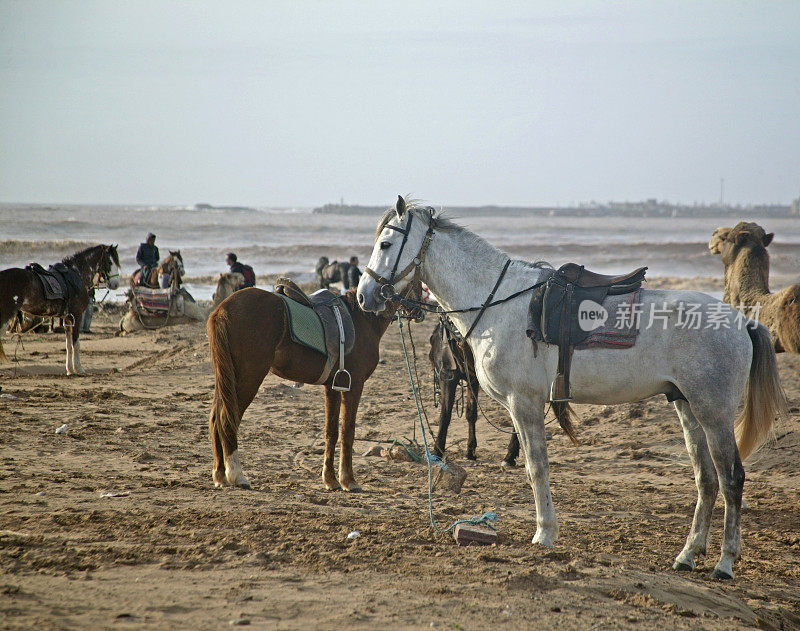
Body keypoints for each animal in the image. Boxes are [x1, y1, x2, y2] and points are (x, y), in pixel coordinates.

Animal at [0, 246, 122, 376]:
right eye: (110, 262)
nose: (116, 284)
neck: (77, 274)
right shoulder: (77, 315)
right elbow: (76, 344)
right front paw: (79, 368)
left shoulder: (67, 318)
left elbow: (68, 345)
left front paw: (70, 369)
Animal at [206, 288, 394, 494]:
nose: (365, 300)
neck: (362, 317)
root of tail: (223, 309)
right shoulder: (354, 385)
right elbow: (348, 431)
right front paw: (348, 480)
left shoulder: (333, 387)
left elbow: (331, 432)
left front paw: (331, 480)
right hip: (248, 377)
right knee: (227, 419)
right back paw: (237, 474)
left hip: (226, 378)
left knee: (215, 419)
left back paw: (220, 475)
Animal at [432, 320, 520, 470]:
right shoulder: (469, 378)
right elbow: (469, 413)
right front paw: (470, 451)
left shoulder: (447, 376)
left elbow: (445, 415)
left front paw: (437, 451)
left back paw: (510, 456)